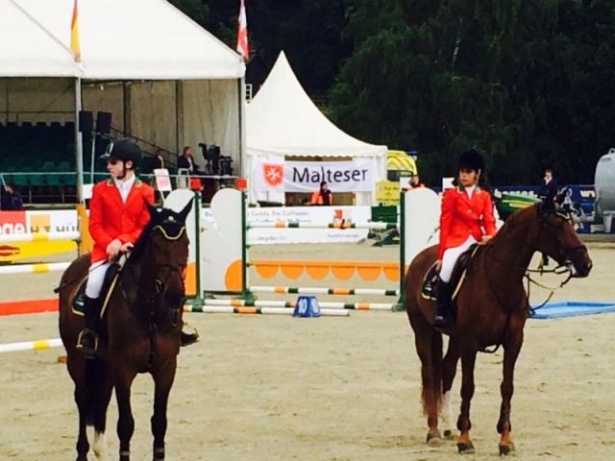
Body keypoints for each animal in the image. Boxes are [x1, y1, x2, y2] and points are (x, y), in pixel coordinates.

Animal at [58, 200, 192, 460]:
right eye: (156, 245)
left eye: (187, 243)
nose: (174, 295)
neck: (150, 313)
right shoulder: (124, 370)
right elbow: (126, 426)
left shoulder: (166, 369)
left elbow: (159, 423)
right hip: (76, 359)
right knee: (82, 399)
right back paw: (83, 451)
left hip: (104, 363)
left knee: (101, 399)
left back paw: (100, 450)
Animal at [406, 200, 596, 452]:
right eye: (557, 225)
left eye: (572, 223)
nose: (585, 265)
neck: (500, 278)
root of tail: (420, 257)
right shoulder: (471, 342)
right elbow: (468, 386)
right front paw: (465, 439)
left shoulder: (513, 341)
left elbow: (507, 387)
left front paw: (505, 440)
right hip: (423, 331)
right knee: (430, 374)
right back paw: (434, 431)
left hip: (455, 338)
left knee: (446, 370)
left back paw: (447, 427)